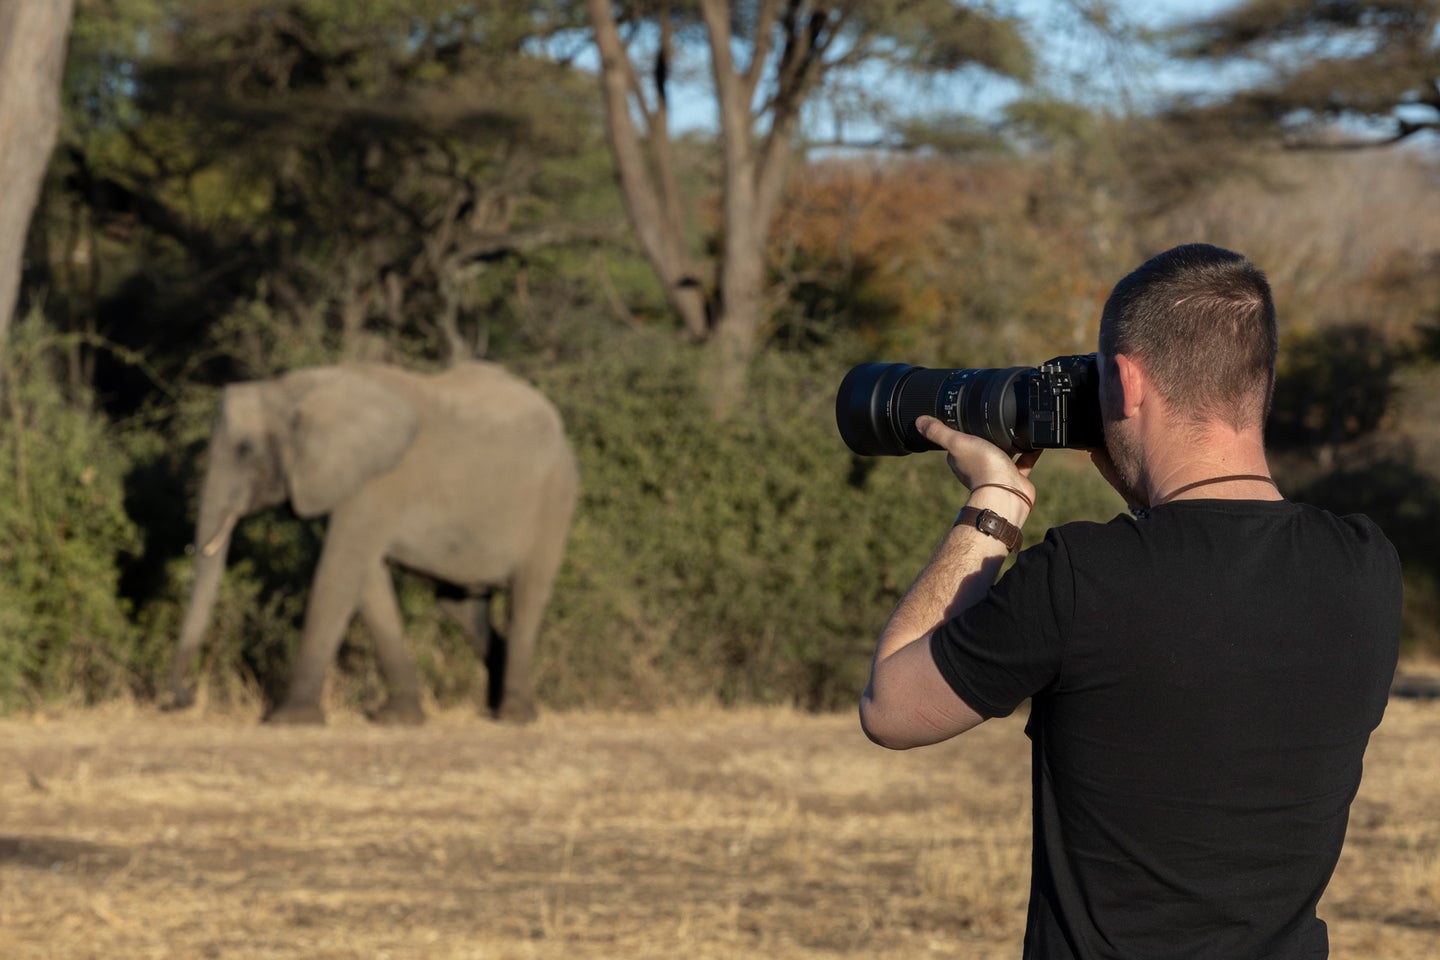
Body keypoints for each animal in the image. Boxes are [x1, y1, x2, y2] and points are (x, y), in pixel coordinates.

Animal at [167, 364, 573, 725]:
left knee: (526, 596)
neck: (295, 387)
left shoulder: (378, 483)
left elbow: (339, 572)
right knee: (461, 605)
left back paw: (514, 716)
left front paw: (289, 719)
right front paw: (397, 719)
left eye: (245, 449)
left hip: (554, 500)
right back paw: (496, 707)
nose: (181, 697)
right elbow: (368, 581)